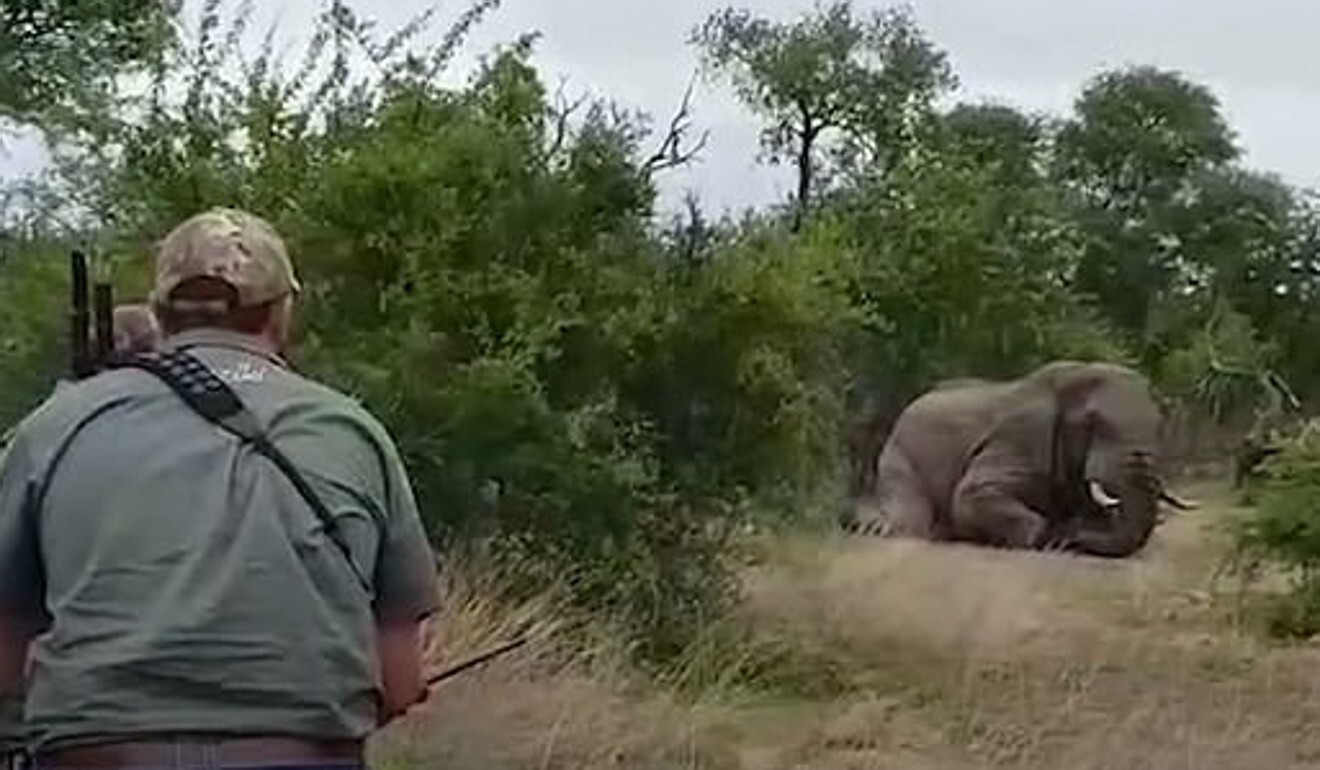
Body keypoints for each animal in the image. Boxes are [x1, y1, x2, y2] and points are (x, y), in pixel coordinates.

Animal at [844, 360, 1196, 557]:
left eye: (1161, 425)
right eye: (1095, 423)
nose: (1068, 540)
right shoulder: (1023, 437)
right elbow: (969, 496)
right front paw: (1051, 538)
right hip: (899, 454)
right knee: (912, 523)